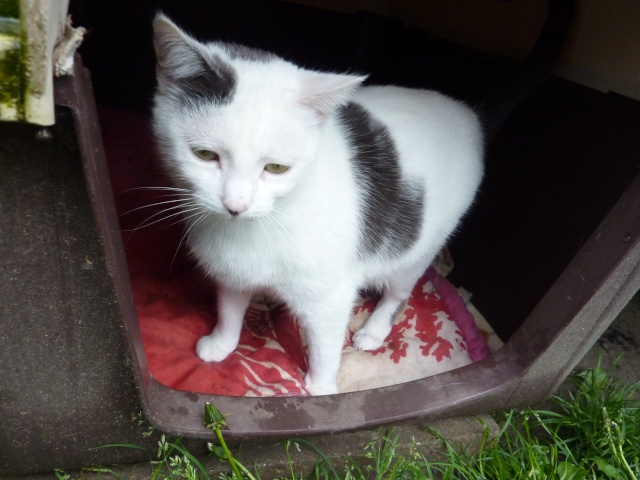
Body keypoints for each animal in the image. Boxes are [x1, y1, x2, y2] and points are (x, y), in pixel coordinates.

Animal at [152, 15, 482, 398]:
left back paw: (374, 330)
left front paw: (322, 389)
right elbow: (230, 306)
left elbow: (325, 344)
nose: (235, 204)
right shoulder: (233, 269)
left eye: (277, 167)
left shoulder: (330, 296)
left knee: (399, 290)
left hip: (418, 247)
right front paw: (222, 342)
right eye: (204, 155)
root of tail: (465, 114)